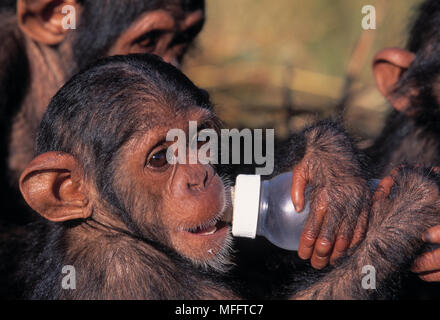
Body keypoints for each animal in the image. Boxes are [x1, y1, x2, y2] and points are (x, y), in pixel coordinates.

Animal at [15, 53, 440, 298]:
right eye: (159, 158)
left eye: (203, 140)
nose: (200, 179)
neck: (109, 227)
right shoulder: (126, 274)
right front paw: (407, 206)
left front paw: (328, 161)